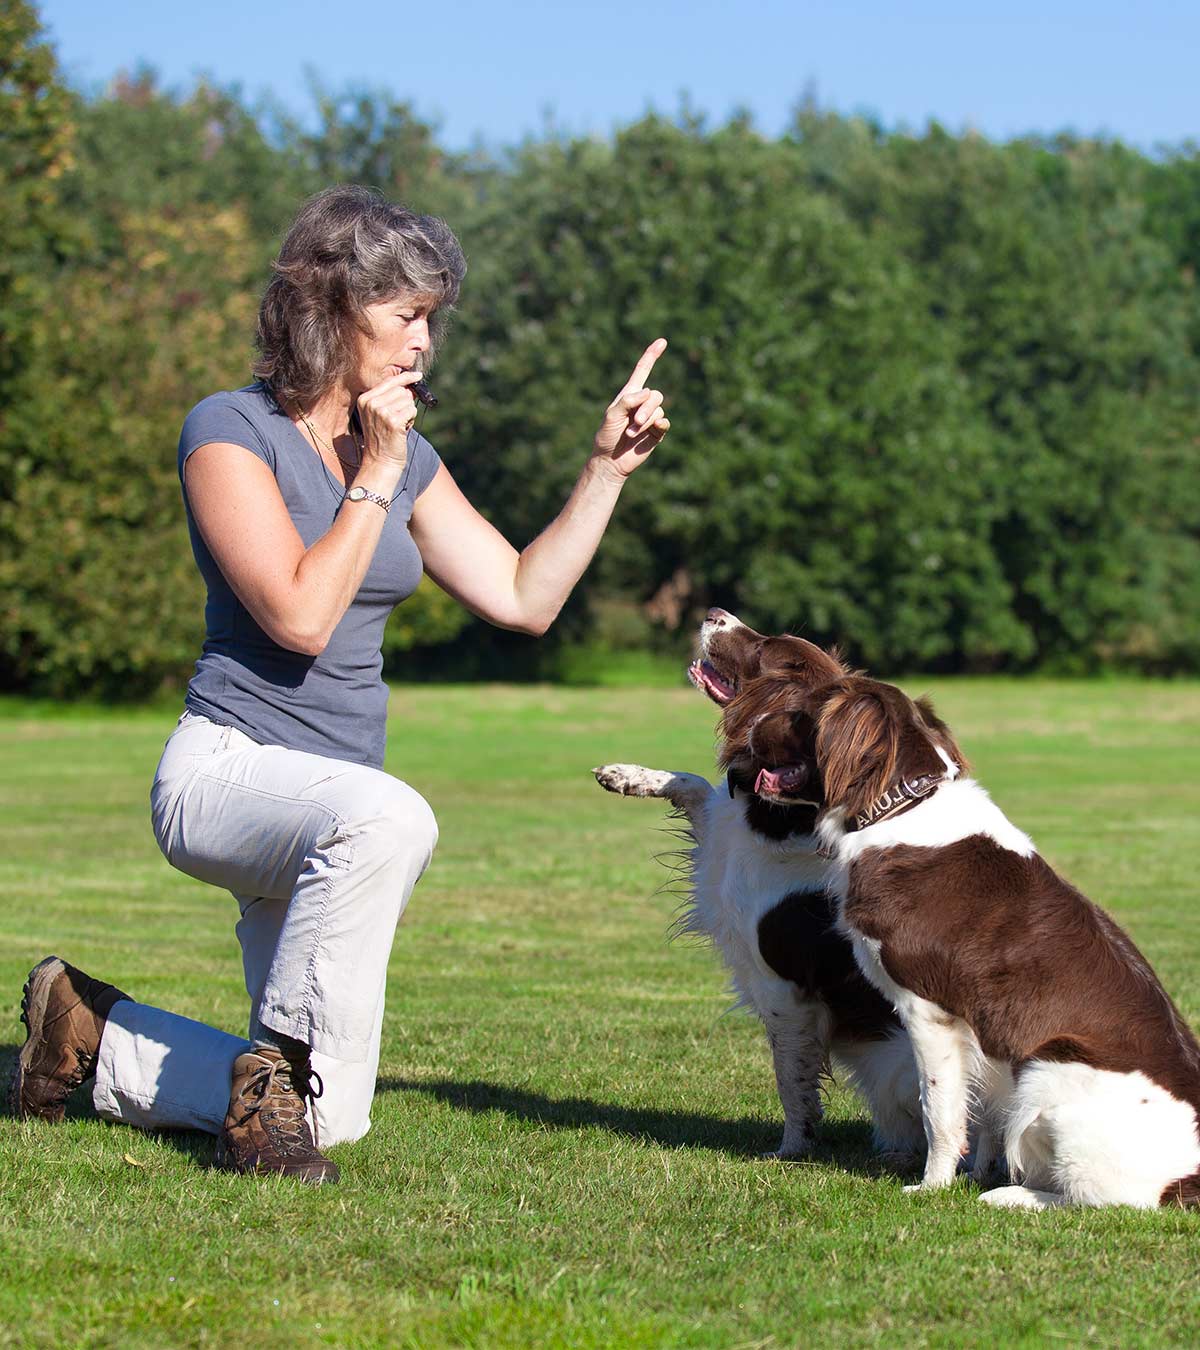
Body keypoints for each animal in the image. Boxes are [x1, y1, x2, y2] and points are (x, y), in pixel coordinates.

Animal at [593, 610, 923, 1161]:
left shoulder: (783, 989)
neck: (785, 814)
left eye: (765, 647)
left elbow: (791, 1078)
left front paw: (792, 1149)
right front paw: (626, 775)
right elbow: (693, 784)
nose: (713, 613)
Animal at [688, 618, 1198, 1209]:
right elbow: (977, 1110)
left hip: (1047, 1070)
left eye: (800, 712)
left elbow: (939, 1107)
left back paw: (1010, 1196)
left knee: (1106, 1198)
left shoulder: (928, 1009)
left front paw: (932, 1184)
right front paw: (969, 1171)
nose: (746, 737)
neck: (900, 809)